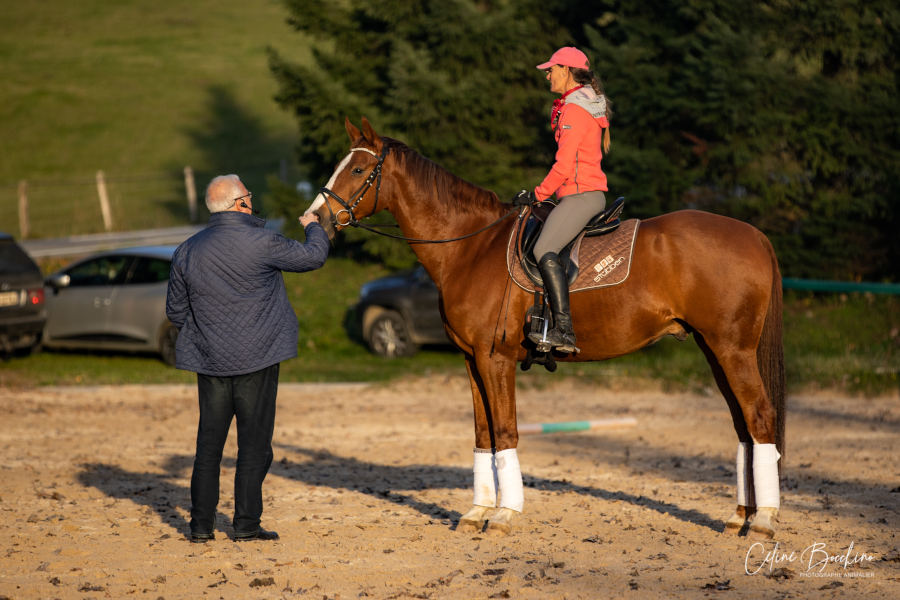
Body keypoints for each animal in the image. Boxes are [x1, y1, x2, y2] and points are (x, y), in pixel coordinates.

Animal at [306, 117, 784, 540]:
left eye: (358, 170)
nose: (313, 219)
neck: (472, 246)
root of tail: (755, 235)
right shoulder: (471, 360)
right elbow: (483, 435)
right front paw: (477, 511)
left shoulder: (494, 359)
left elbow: (505, 432)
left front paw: (503, 515)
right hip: (714, 349)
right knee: (743, 427)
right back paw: (740, 517)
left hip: (732, 349)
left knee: (760, 417)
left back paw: (762, 522)